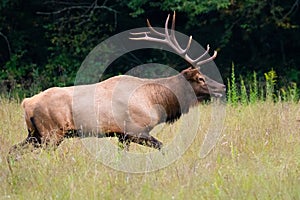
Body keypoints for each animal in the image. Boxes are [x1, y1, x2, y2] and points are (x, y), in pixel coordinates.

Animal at [7, 11, 225, 163]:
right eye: (200, 78)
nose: (222, 87)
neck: (155, 101)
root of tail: (26, 103)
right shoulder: (135, 131)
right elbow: (164, 147)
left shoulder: (122, 136)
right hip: (51, 133)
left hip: (34, 134)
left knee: (12, 150)